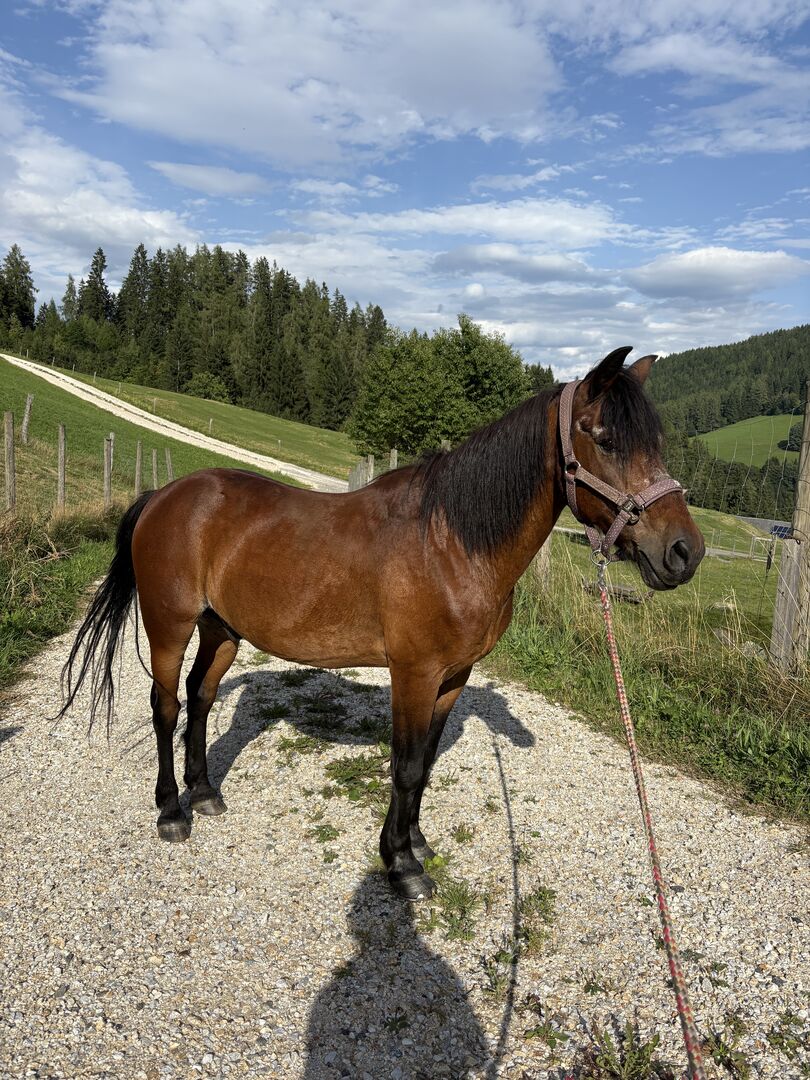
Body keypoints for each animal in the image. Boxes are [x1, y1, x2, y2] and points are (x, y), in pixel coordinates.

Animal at [59, 346, 704, 900]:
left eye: (656, 442)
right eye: (604, 439)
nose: (684, 552)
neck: (450, 542)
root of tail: (164, 494)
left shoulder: (453, 677)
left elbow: (425, 765)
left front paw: (415, 841)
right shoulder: (413, 673)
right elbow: (406, 763)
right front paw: (400, 864)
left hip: (222, 630)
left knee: (201, 695)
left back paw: (204, 792)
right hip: (170, 623)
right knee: (166, 705)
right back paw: (172, 811)